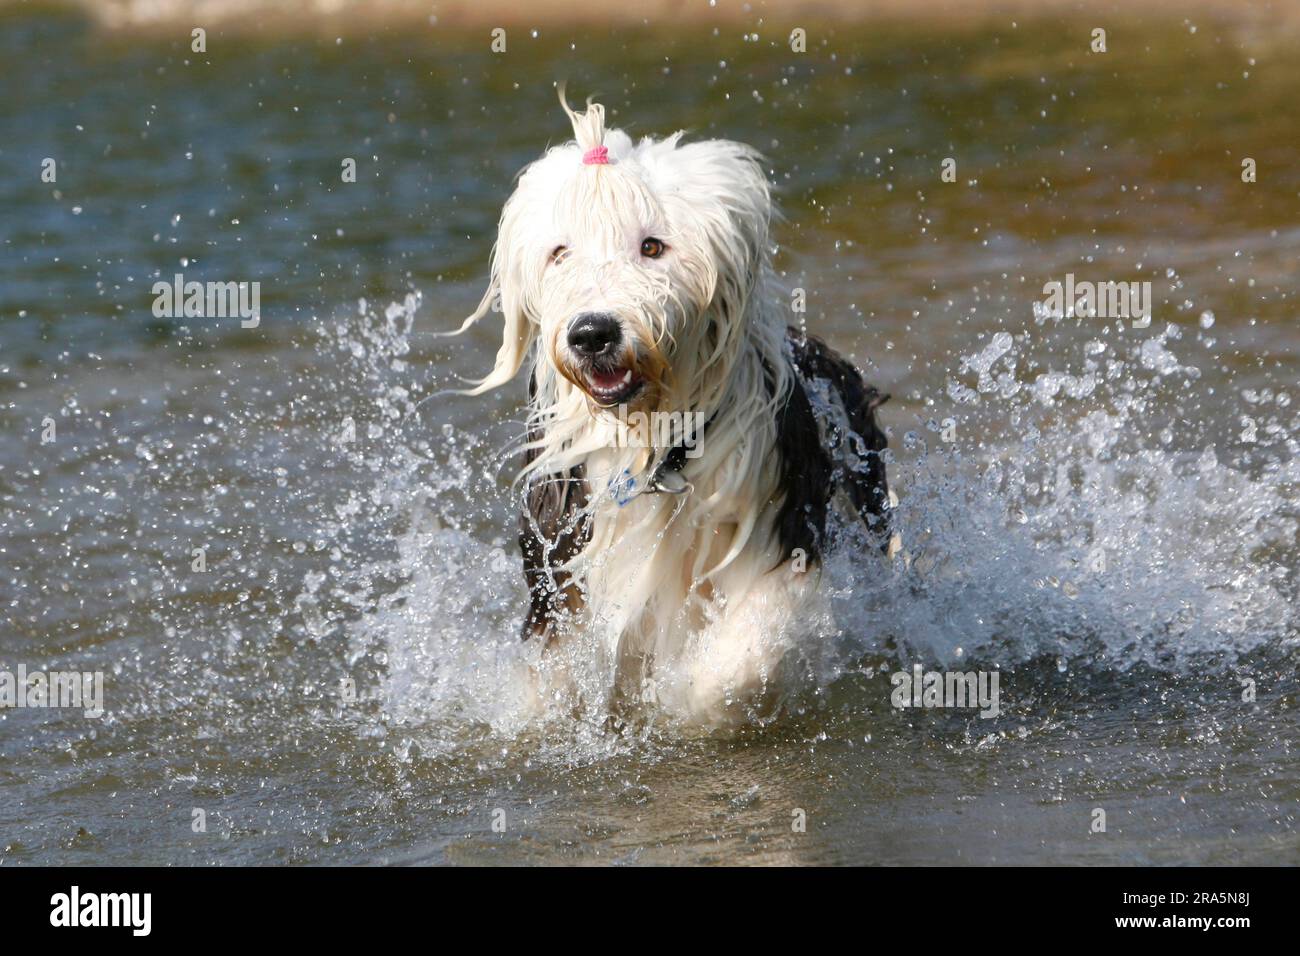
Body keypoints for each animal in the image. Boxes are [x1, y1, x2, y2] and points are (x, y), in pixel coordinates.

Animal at [452, 95, 889, 723]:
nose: (592, 333)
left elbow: (741, 656)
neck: (650, 443)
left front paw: (686, 699)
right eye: (560, 253)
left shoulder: (779, 518)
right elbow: (552, 664)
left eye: (652, 246)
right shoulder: (561, 542)